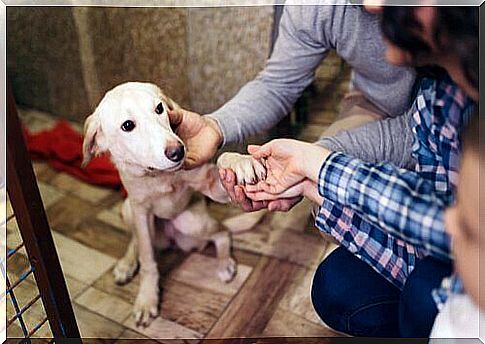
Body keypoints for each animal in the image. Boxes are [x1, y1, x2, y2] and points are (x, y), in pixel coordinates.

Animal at [82, 82, 264, 326]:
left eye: (159, 108)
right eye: (127, 125)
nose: (178, 151)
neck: (159, 176)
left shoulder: (211, 184)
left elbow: (223, 161)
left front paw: (241, 162)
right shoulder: (140, 211)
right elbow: (147, 259)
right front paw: (147, 298)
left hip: (192, 222)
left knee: (222, 232)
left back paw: (224, 262)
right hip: (127, 209)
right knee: (137, 240)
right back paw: (127, 263)